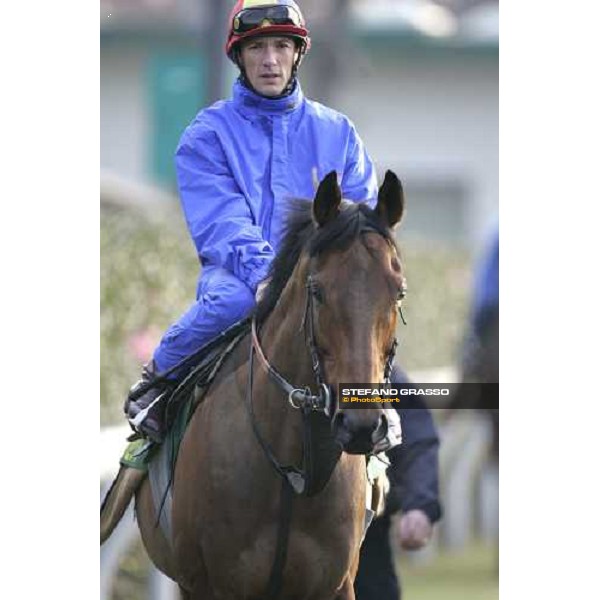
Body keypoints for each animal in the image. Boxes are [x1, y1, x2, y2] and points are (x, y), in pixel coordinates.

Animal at [108, 171, 408, 596]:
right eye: (317, 291)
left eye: (398, 292)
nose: (361, 425)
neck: (293, 472)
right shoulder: (216, 584)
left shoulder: (335, 585)